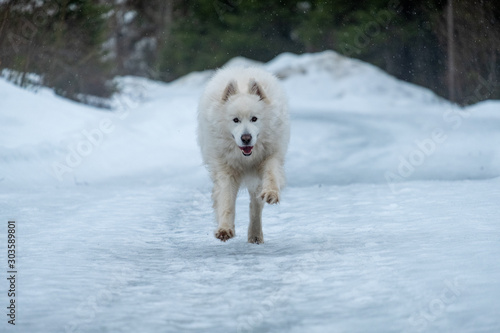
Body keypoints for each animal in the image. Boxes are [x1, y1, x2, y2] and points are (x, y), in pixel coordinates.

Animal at [196, 66, 290, 243]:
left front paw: (271, 193)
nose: (246, 138)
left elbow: (271, 175)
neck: (246, 158)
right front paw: (225, 229)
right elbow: (226, 200)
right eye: (235, 120)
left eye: (254, 119)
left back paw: (255, 235)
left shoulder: (270, 156)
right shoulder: (225, 170)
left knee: (255, 205)